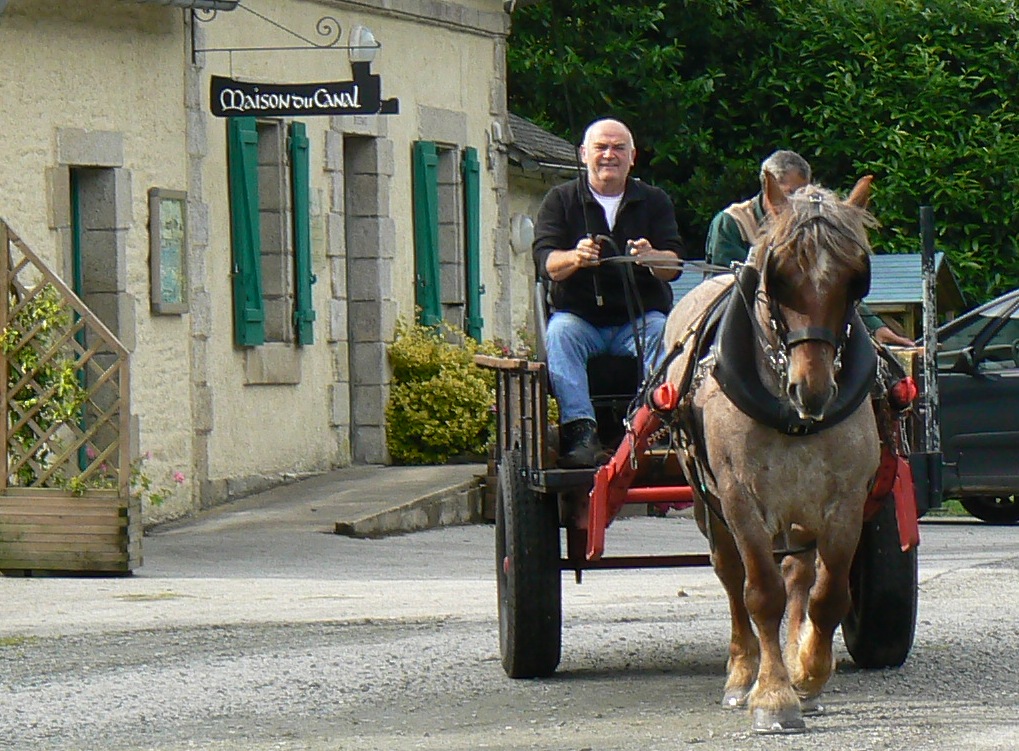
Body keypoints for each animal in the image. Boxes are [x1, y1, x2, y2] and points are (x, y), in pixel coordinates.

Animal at [664, 174, 880, 733]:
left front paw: (808, 673)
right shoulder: (740, 499)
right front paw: (773, 695)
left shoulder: (846, 502)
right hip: (709, 502)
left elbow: (828, 596)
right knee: (731, 575)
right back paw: (742, 672)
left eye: (854, 279)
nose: (813, 389)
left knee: (799, 574)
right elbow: (760, 593)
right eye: (778, 276)